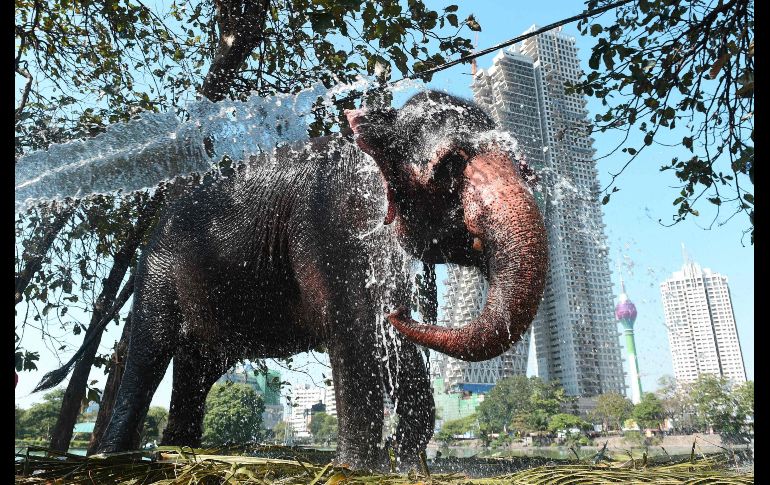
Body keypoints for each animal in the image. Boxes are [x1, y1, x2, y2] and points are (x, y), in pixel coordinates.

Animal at [94, 90, 548, 470]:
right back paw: (116, 457)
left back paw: (180, 449)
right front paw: (355, 469)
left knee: (198, 368)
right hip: (157, 270)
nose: (404, 311)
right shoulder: (328, 224)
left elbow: (389, 341)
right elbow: (355, 329)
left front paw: (406, 466)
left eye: (526, 170)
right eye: (451, 164)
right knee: (149, 353)